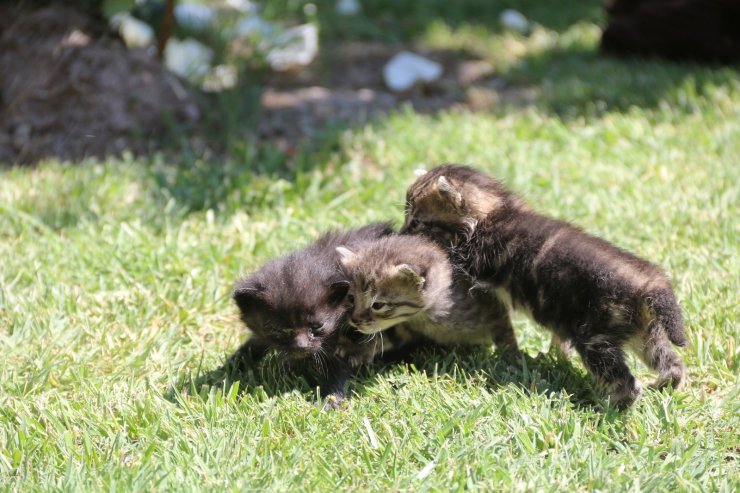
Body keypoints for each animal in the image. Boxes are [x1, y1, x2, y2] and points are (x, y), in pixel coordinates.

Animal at [231, 223, 416, 404]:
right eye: (278, 329)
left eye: (317, 326)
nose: (301, 346)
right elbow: (254, 343)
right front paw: (231, 367)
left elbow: (338, 367)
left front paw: (329, 398)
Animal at [404, 165, 688, 408]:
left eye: (416, 221)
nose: (403, 231)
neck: (497, 210)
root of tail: (651, 284)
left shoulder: (475, 265)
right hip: (647, 334)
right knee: (673, 364)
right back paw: (662, 387)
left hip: (596, 338)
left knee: (627, 384)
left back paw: (604, 407)